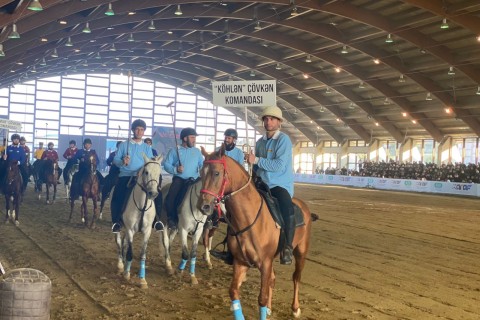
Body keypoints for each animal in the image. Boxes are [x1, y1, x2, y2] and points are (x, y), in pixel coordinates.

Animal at [116, 155, 163, 290]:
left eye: (159, 173)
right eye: (146, 172)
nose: (153, 193)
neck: (142, 206)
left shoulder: (147, 232)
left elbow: (142, 254)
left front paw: (142, 280)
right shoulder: (130, 229)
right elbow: (130, 253)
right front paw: (126, 275)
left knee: (124, 243)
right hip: (120, 226)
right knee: (119, 242)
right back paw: (120, 265)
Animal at [198, 146, 316, 318]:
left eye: (217, 173)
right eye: (201, 172)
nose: (204, 206)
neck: (250, 218)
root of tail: (304, 207)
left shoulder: (265, 263)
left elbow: (262, 297)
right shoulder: (240, 262)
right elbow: (233, 291)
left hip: (301, 252)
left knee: (296, 278)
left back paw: (295, 308)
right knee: (273, 279)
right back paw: (270, 308)